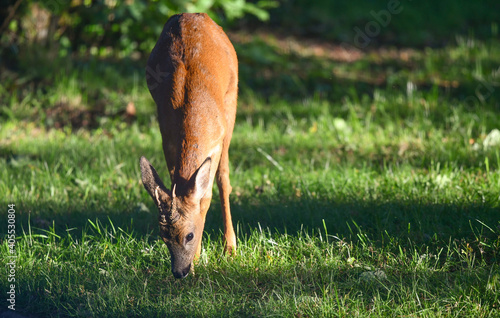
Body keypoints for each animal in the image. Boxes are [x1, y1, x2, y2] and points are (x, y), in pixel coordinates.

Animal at [138, 13, 237, 278]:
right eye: (163, 237)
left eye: (189, 235)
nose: (179, 272)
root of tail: (192, 14)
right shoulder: (167, 138)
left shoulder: (217, 138)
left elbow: (207, 194)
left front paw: (204, 256)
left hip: (232, 99)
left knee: (224, 178)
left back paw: (230, 247)